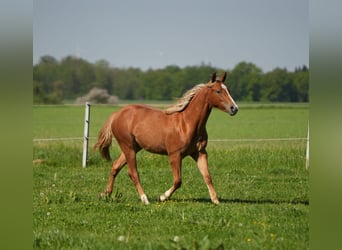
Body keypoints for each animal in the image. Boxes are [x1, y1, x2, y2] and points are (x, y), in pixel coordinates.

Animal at [93, 72, 238, 205]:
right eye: (218, 91)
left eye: (228, 90)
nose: (234, 108)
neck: (187, 124)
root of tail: (116, 114)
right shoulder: (175, 155)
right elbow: (178, 180)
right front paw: (162, 197)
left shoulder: (200, 153)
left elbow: (207, 176)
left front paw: (216, 200)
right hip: (128, 147)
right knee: (133, 172)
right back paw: (145, 199)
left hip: (133, 147)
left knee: (115, 166)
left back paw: (104, 194)